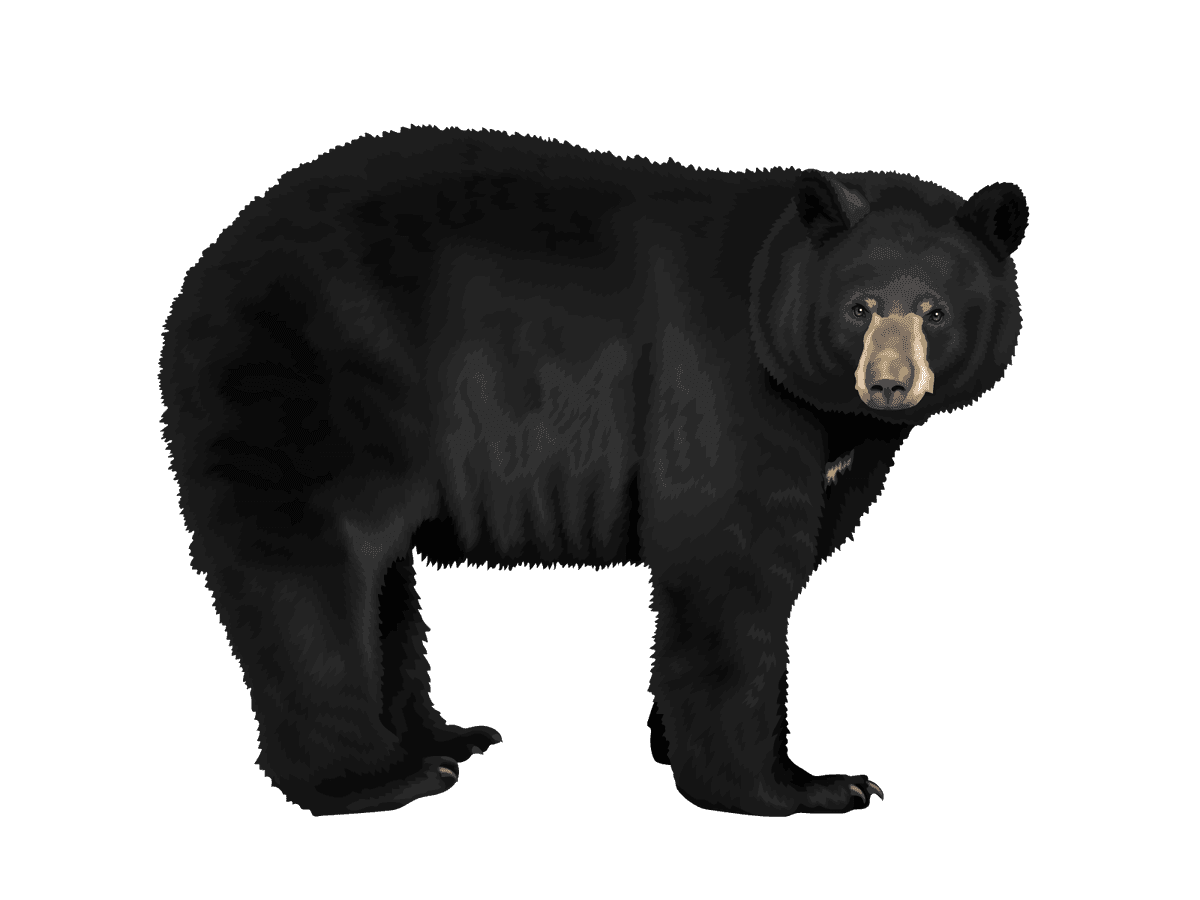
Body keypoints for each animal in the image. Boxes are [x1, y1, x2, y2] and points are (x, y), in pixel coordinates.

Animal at [158, 126, 1028, 817]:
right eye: (860, 305)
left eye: (935, 310)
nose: (887, 384)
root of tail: (208, 263)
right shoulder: (719, 380)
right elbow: (727, 562)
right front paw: (799, 785)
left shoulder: (840, 450)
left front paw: (674, 741)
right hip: (318, 373)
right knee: (310, 568)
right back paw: (377, 779)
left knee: (384, 585)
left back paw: (444, 738)